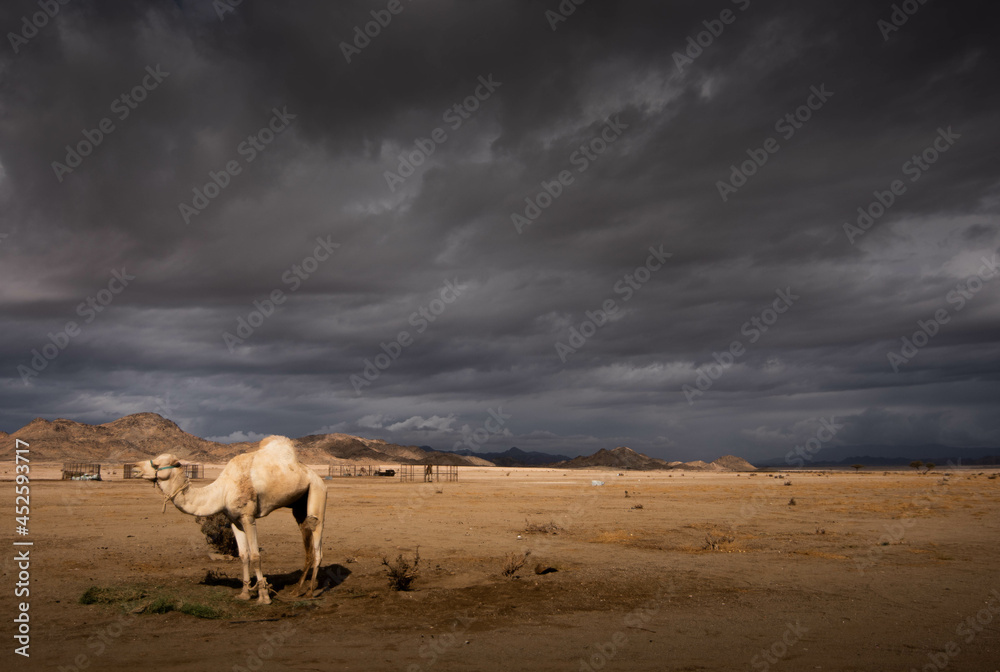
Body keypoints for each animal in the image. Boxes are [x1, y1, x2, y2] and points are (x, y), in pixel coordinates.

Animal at [133, 436, 326, 604]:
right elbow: (243, 555)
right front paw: (245, 593)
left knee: (316, 537)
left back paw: (310, 592)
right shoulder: (234, 520)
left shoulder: (248, 517)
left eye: (158, 463)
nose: (134, 468)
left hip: (317, 492)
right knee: (307, 540)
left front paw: (264, 597)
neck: (223, 490)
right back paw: (297, 590)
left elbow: (255, 555)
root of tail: (317, 477)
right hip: (298, 506)